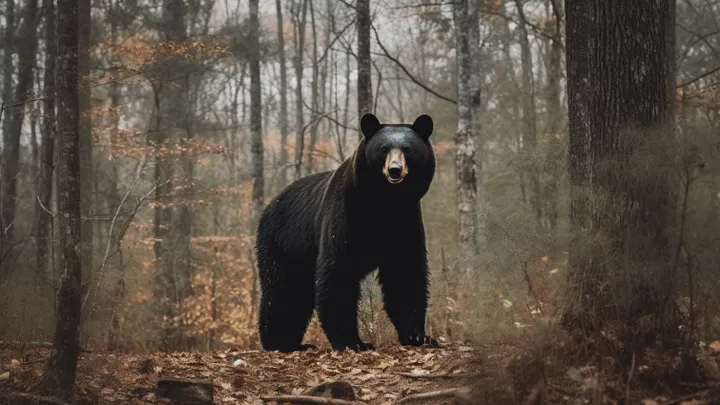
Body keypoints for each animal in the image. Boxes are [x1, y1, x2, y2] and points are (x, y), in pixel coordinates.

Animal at [255, 113, 439, 352]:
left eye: (407, 149)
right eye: (384, 148)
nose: (395, 169)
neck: (385, 202)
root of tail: (269, 206)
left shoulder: (405, 221)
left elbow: (404, 272)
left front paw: (418, 336)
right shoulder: (346, 215)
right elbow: (338, 271)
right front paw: (353, 341)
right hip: (284, 243)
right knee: (282, 290)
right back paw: (278, 341)